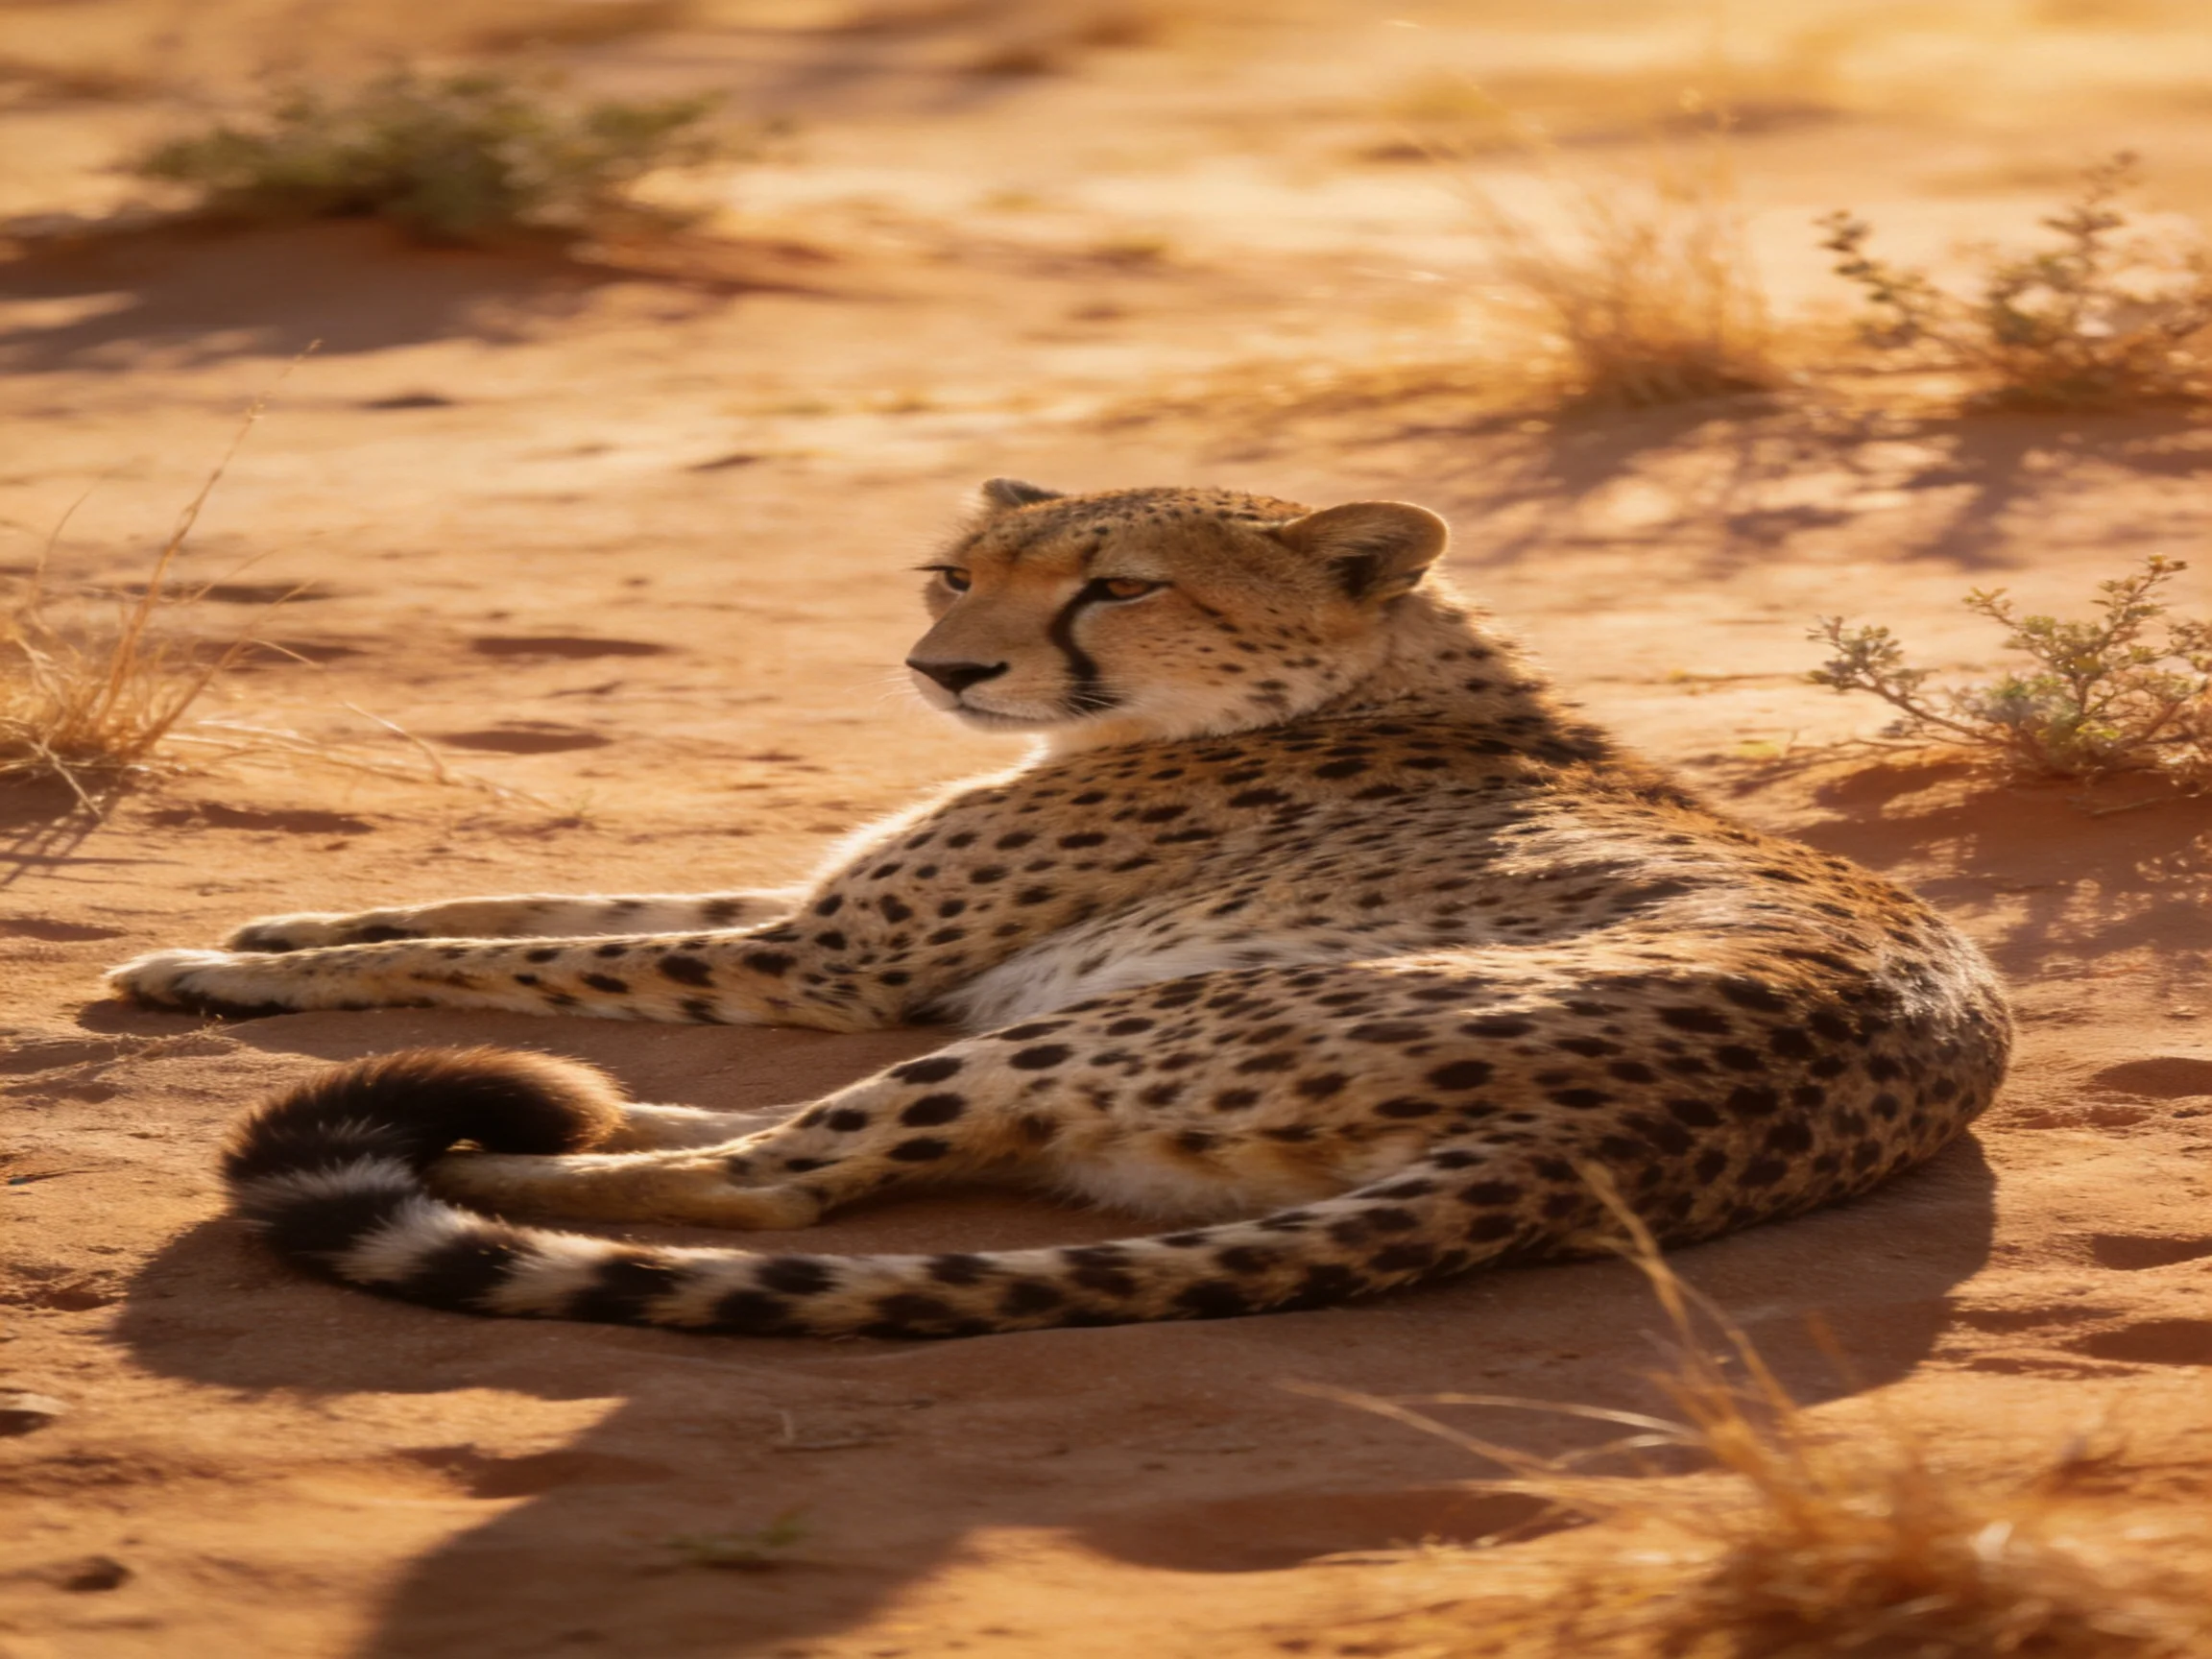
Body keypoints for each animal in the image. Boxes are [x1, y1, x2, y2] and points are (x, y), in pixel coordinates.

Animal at [109, 479, 2011, 1340]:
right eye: (955, 572)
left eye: (1119, 586)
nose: (942, 668)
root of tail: (1593, 1156)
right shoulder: (823, 916)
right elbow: (516, 892)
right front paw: (276, 936)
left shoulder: (825, 958)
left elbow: (517, 938)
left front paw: (206, 959)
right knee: (795, 1139)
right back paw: (571, 1105)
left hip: (1140, 1015)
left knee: (774, 1175)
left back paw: (490, 1155)